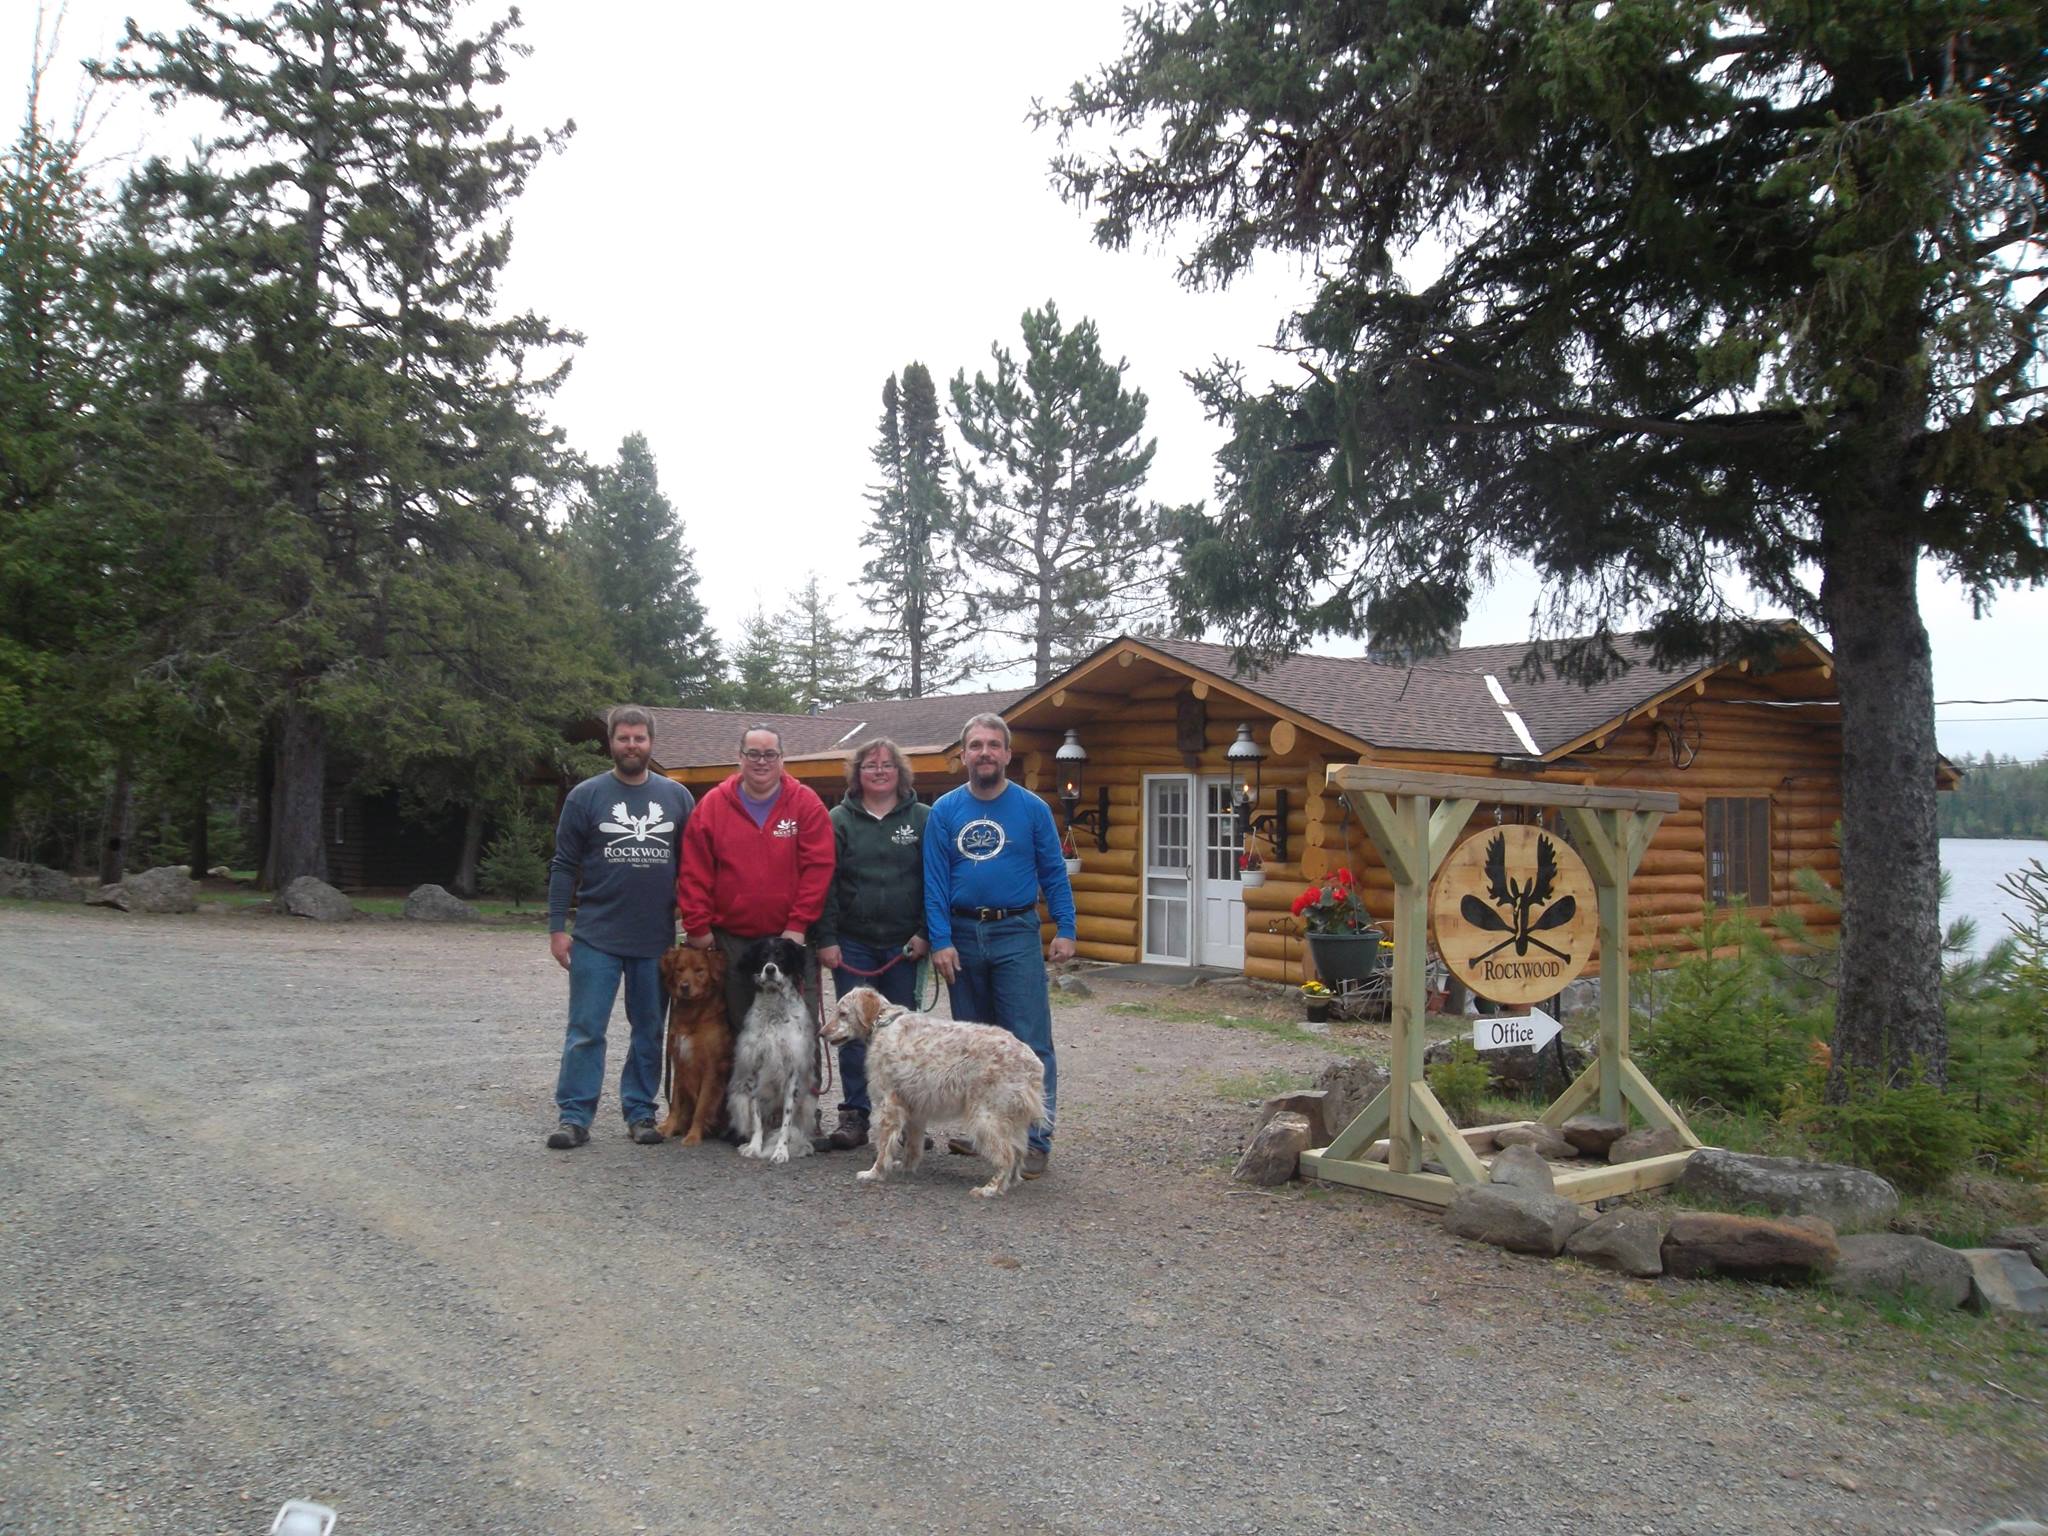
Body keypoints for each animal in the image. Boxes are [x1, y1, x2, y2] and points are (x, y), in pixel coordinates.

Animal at [655, 946, 737, 1146]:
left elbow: (702, 1107)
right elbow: (675, 1103)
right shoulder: (680, 1062)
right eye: (679, 969)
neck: (693, 1014)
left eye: (700, 970)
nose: (684, 987)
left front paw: (693, 1136)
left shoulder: (712, 1069)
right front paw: (669, 1127)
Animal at [720, 937, 815, 1163]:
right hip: (738, 1099)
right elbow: (757, 1120)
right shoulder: (754, 1071)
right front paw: (754, 1147)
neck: (775, 1011)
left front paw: (781, 1151)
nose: (770, 969)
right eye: (763, 956)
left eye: (781, 955)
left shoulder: (793, 1072)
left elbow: (786, 1124)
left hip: (808, 1102)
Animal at [819, 987, 1040, 1204]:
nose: (821, 1033)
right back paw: (1010, 1183)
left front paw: (874, 1173)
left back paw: (990, 1189)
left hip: (985, 1118)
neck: (883, 1024)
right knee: (1017, 1153)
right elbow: (912, 1146)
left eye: (843, 1014)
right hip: (1010, 1120)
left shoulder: (888, 1106)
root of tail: (1032, 1062)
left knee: (1007, 1156)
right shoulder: (914, 1110)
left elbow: (883, 1147)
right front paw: (905, 1167)